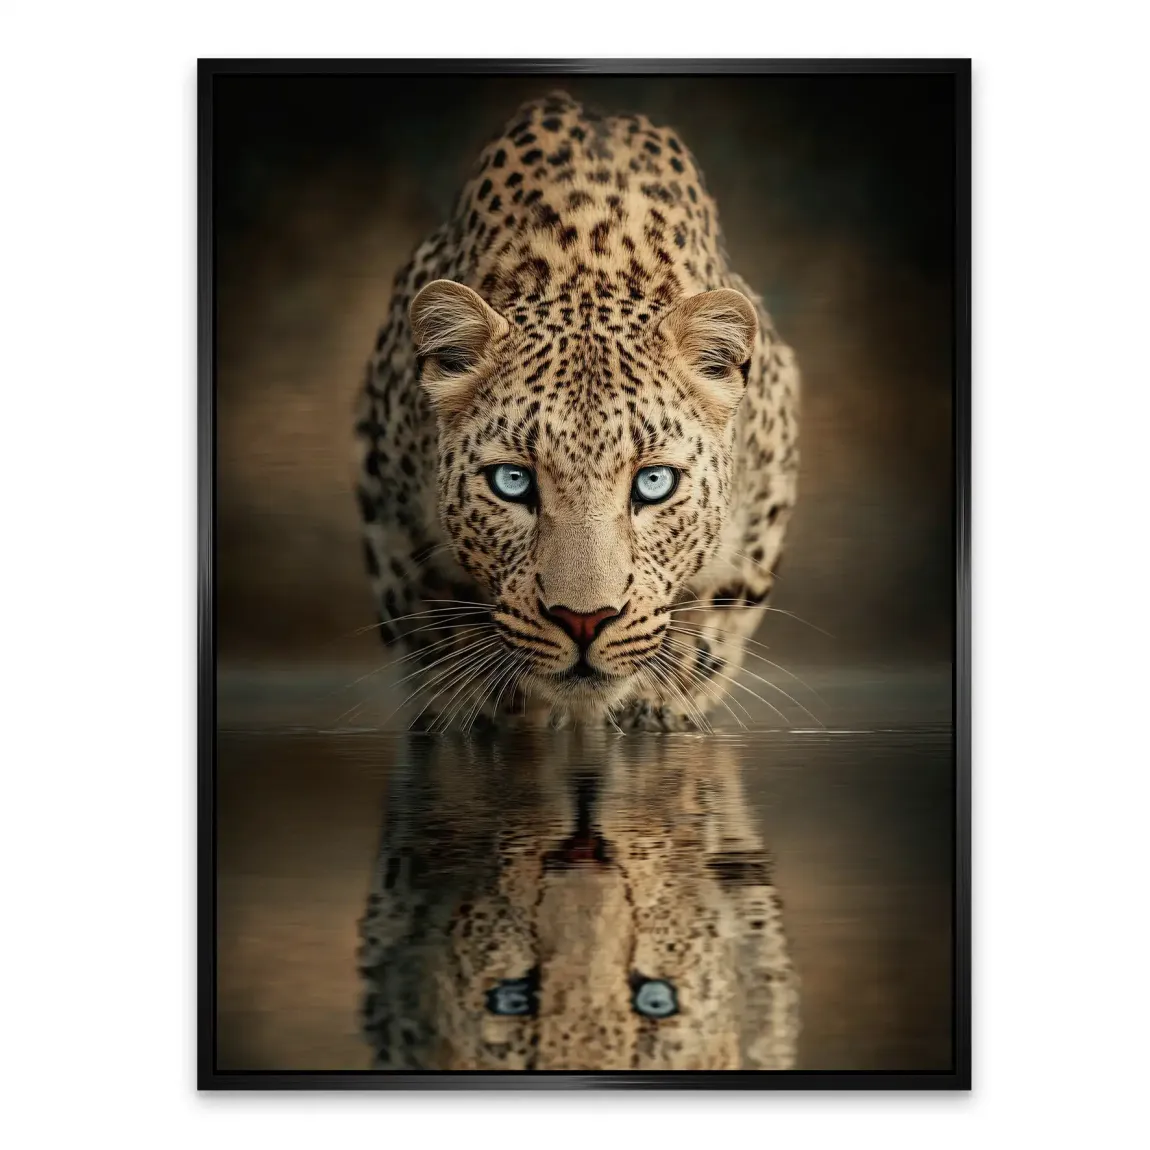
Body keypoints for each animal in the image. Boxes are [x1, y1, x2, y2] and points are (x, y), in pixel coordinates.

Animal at [355, 90, 800, 731]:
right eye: (512, 482)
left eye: (655, 483)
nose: (584, 620)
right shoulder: (391, 518)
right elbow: (436, 635)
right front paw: (482, 710)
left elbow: (710, 628)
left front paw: (657, 706)